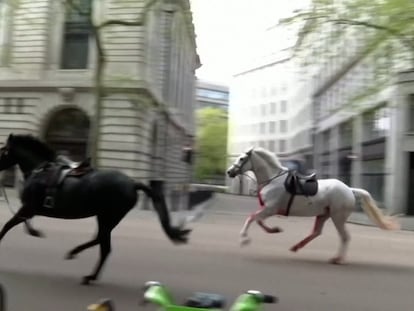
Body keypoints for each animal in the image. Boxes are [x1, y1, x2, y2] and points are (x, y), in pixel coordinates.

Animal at [0, 134, 191, 286]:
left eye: (3, 150)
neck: (40, 170)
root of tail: (132, 183)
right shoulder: (29, 210)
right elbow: (18, 224)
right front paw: (35, 231)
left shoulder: (28, 208)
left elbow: (8, 226)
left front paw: (34, 232)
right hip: (106, 217)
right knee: (101, 242)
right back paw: (83, 265)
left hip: (107, 217)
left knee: (103, 245)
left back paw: (84, 268)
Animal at [226, 147, 402, 264]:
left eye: (242, 158)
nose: (229, 172)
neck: (273, 180)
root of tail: (350, 190)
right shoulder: (268, 210)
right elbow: (259, 221)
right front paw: (275, 230)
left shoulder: (270, 209)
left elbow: (252, 219)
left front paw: (244, 240)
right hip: (324, 214)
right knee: (316, 232)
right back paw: (296, 247)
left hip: (338, 217)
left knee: (344, 237)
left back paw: (337, 258)